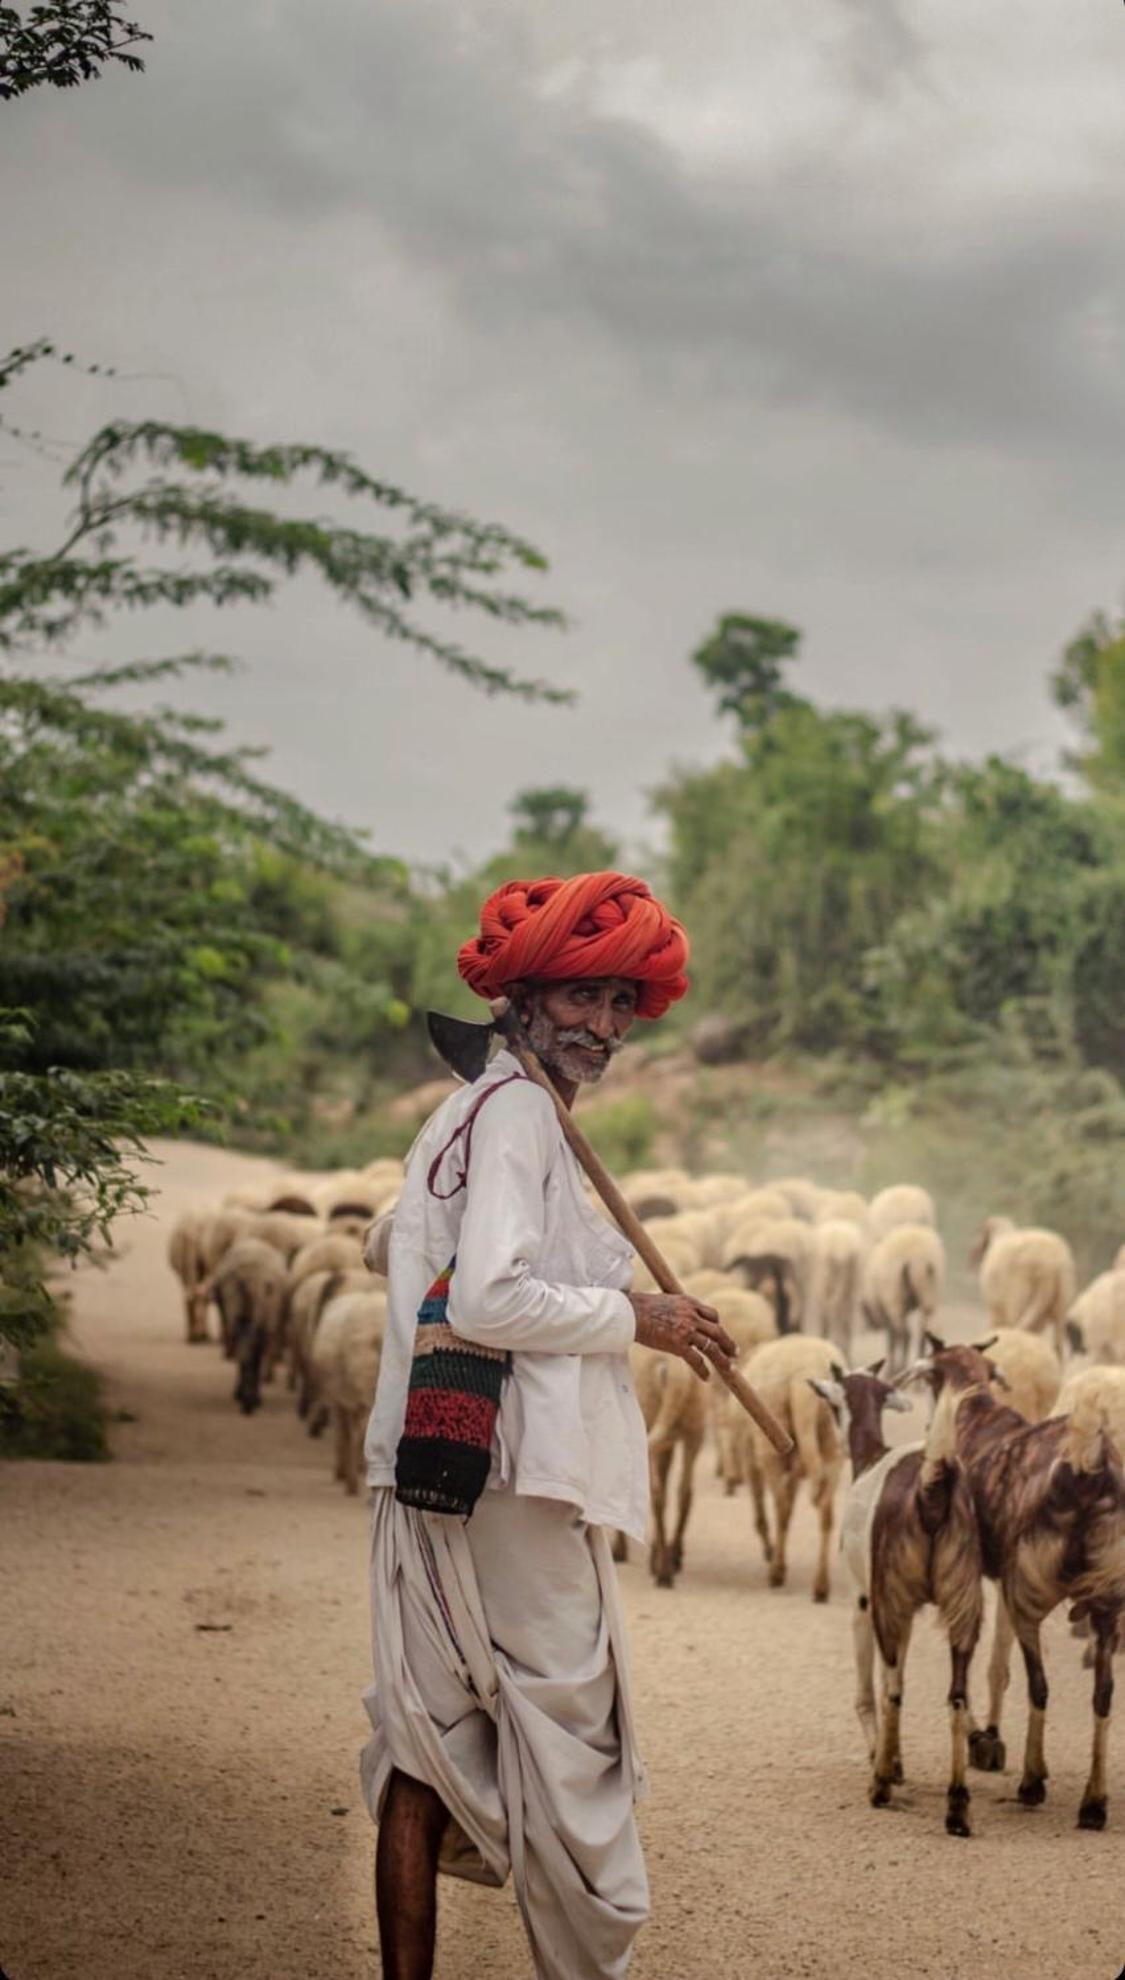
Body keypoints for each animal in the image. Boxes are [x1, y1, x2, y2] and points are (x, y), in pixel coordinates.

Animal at [808, 1370, 982, 1829]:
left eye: (833, 1404)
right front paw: (896, 1756)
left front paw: (886, 1760)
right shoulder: (908, 1611)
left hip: (888, 1601)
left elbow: (871, 1689)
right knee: (957, 1694)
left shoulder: (864, 1601)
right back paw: (957, 1804)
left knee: (894, 1690)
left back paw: (881, 1785)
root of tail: (931, 1488)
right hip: (963, 1602)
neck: (872, 1457)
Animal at [907, 1338, 1125, 1829]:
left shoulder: (987, 1576)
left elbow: (992, 1663)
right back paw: (1094, 1802)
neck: (975, 1409)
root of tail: (1087, 1470)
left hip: (1029, 1593)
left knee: (1039, 1685)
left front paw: (985, 1739)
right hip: (1105, 1602)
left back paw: (1031, 1781)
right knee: (1103, 1696)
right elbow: (997, 1664)